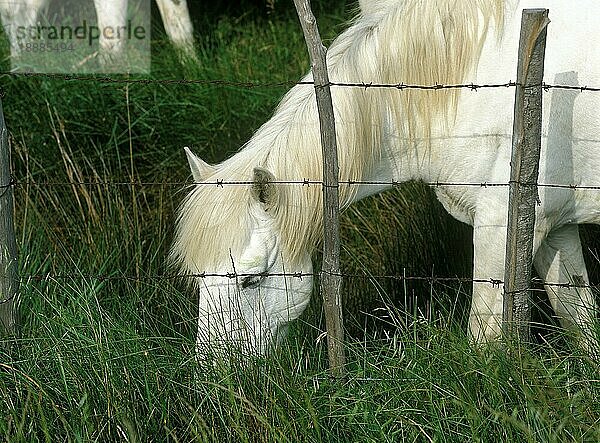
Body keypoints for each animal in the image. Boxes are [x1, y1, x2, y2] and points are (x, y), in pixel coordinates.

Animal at [171, 0, 596, 358]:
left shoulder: (501, 228)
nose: (216, 375)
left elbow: (485, 340)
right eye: (198, 279)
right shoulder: (553, 228)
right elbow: (580, 319)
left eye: (250, 280)